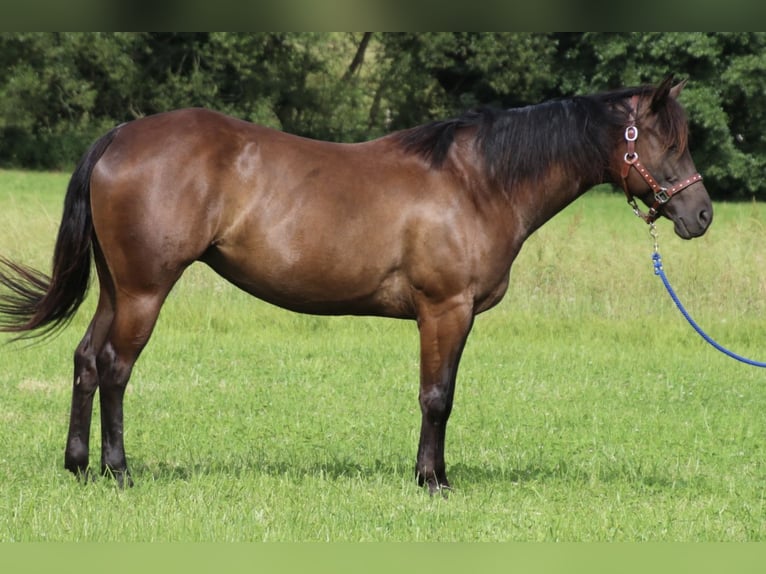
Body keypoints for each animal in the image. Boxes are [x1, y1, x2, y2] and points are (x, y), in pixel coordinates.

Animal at [0, 76, 712, 496]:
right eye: (667, 141)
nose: (701, 214)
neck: (478, 182)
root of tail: (122, 134)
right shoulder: (445, 311)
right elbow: (437, 398)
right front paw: (432, 482)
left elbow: (441, 397)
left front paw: (433, 475)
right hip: (146, 291)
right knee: (116, 367)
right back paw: (118, 472)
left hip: (118, 288)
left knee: (86, 360)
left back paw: (78, 466)